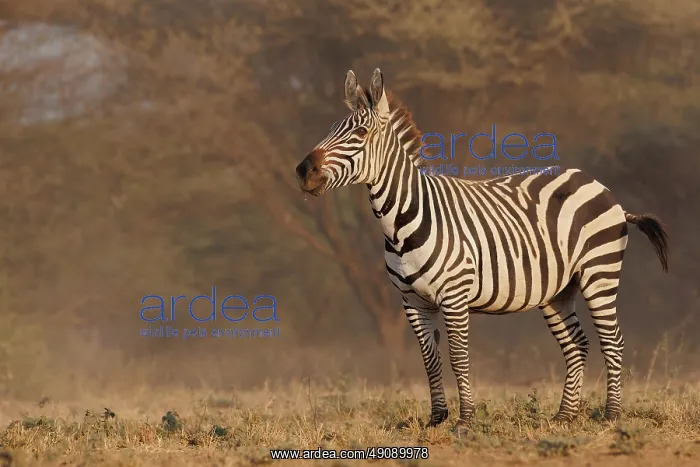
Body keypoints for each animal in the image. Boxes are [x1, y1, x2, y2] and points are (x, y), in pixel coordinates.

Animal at [294, 68, 670, 433]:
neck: (401, 222)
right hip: (558, 291)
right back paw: (564, 416)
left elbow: (459, 358)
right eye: (331, 129)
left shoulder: (453, 295)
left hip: (599, 275)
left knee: (612, 341)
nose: (302, 171)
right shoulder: (411, 301)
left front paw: (465, 421)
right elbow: (430, 360)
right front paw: (436, 419)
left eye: (360, 133)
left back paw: (611, 416)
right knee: (577, 345)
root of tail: (600, 186)